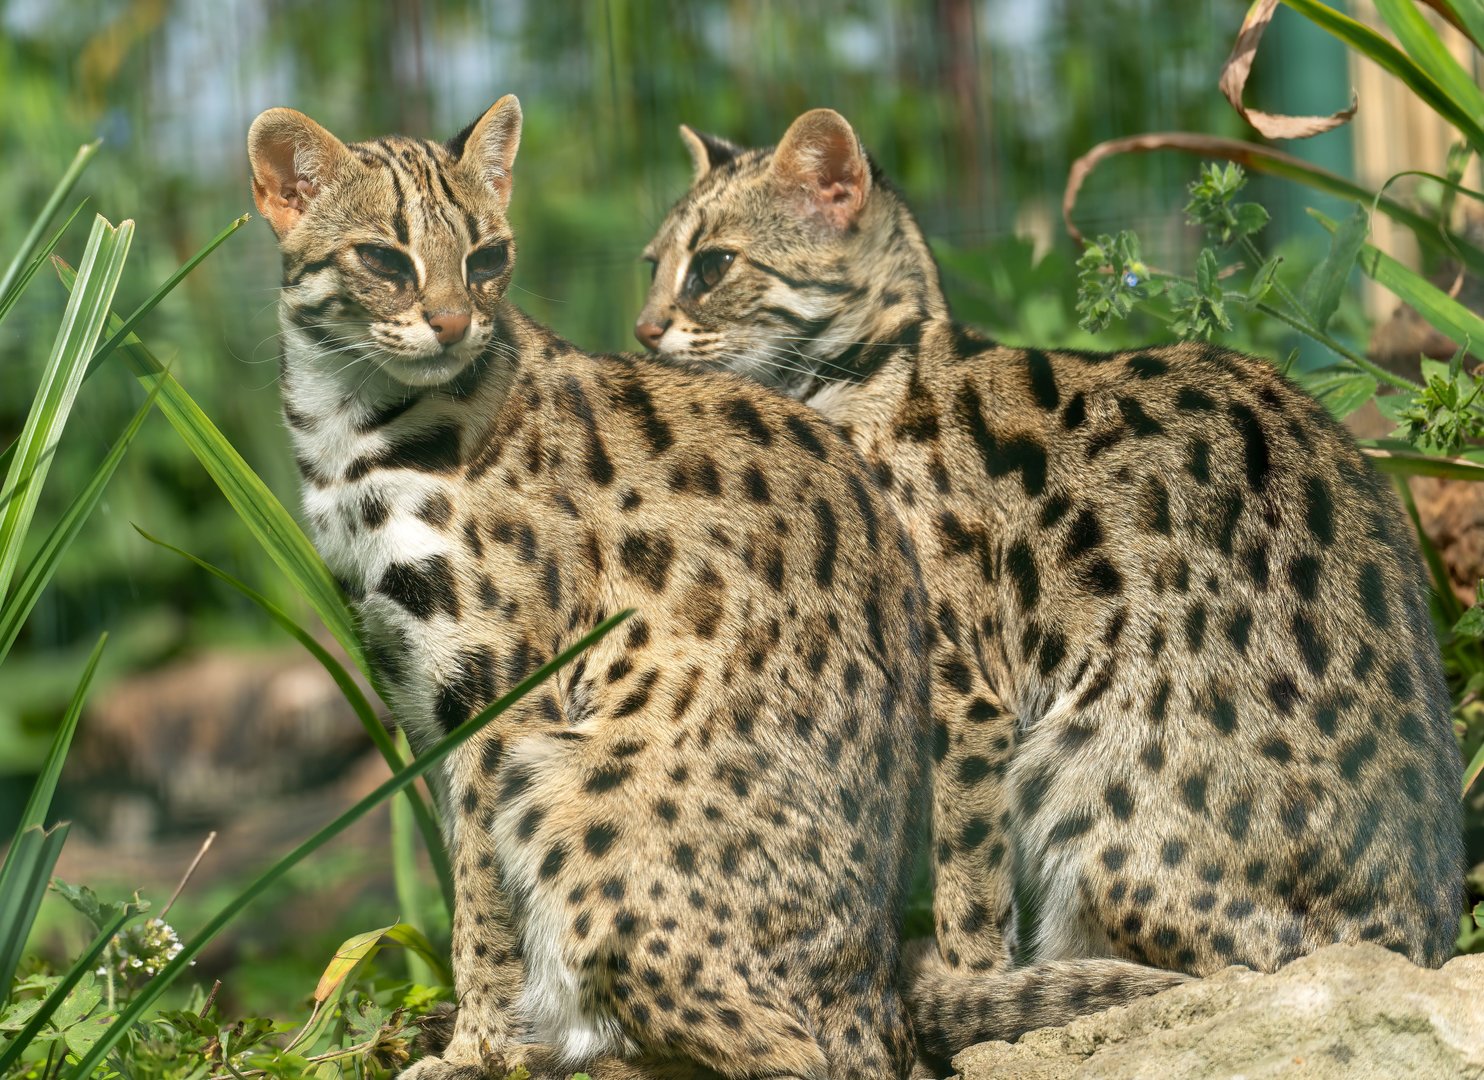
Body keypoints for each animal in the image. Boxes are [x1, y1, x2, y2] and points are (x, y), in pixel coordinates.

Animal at [247, 96, 932, 1080]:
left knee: (781, 1049)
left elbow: (483, 893)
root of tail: (876, 999)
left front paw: (479, 1049)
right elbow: (459, 865)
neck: (348, 431)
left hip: (570, 784)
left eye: (487, 258)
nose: (453, 322)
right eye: (383, 258)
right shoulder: (411, 683)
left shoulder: (496, 690)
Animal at [633, 107, 1464, 1066]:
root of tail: (1417, 937)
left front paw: (971, 986)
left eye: (714, 265)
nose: (643, 330)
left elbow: (966, 877)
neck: (866, 376)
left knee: (1216, 973)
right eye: (653, 262)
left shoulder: (966, 702)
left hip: (1081, 785)